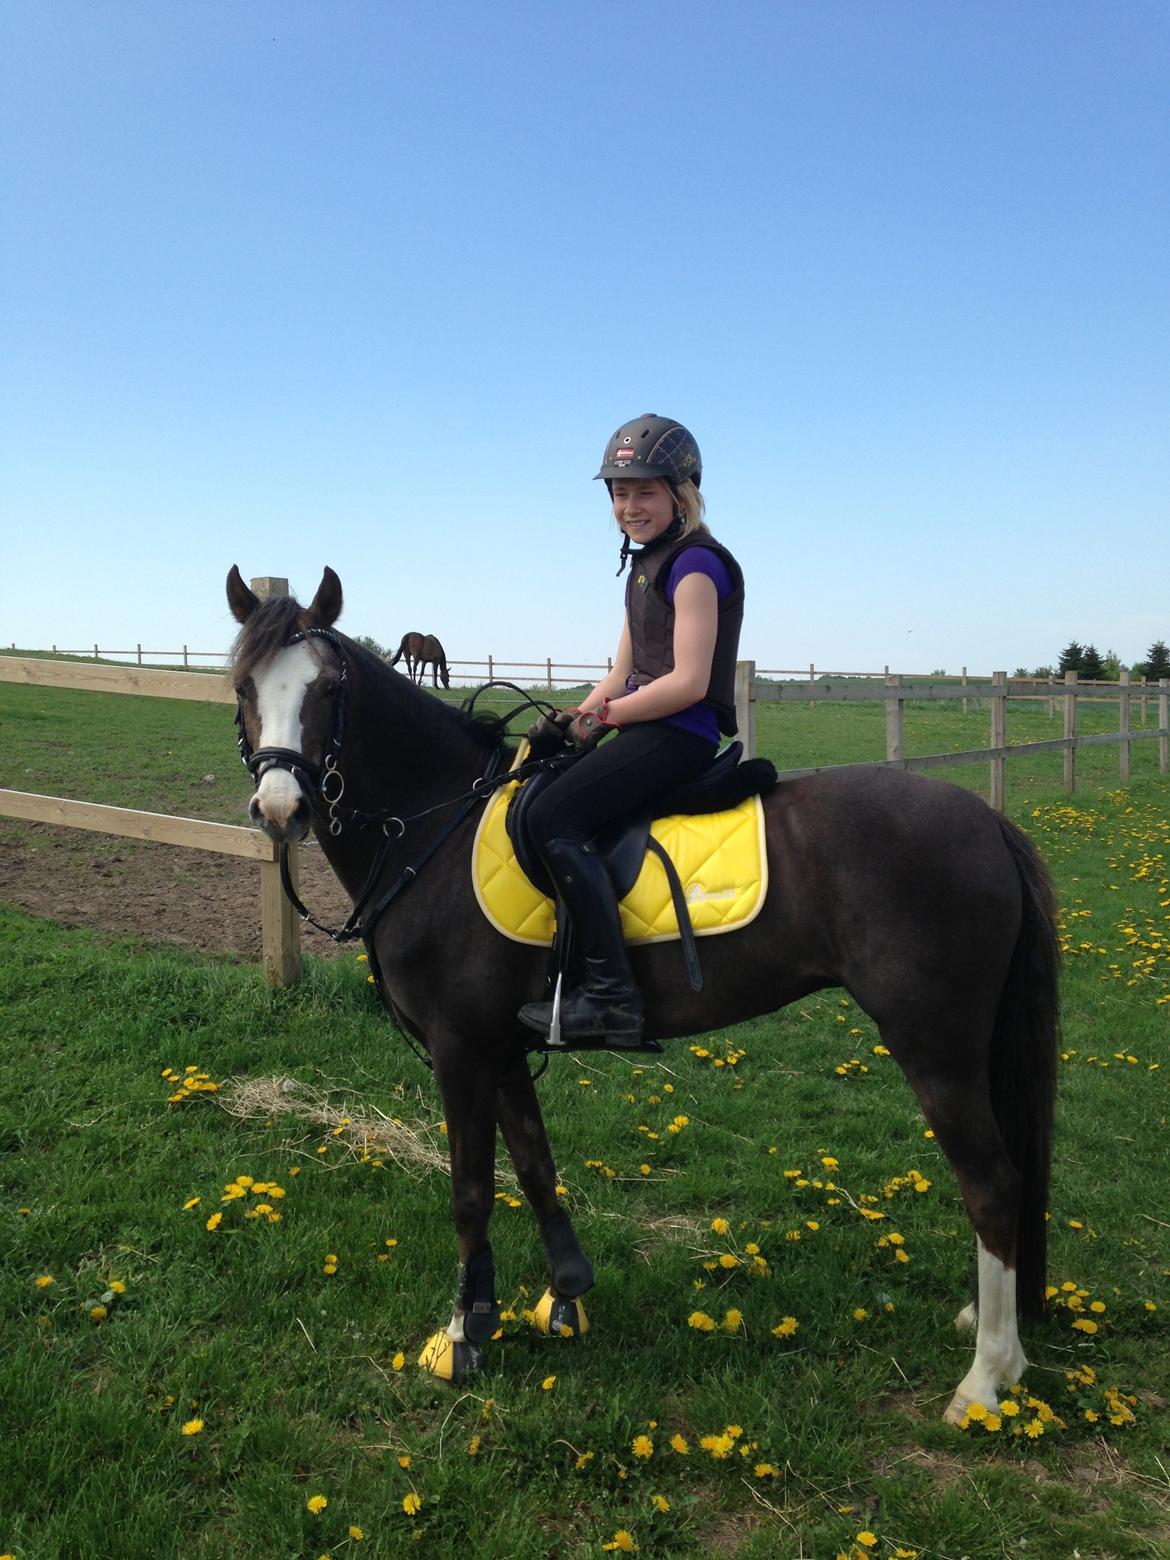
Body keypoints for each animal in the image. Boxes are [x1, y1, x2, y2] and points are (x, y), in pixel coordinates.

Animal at [226, 565, 1060, 1424]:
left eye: (328, 689)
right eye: (244, 687)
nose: (281, 809)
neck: (437, 831)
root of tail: (988, 823)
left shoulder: (460, 1049)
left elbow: (471, 1191)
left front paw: (461, 1336)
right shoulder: (503, 1047)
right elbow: (535, 1166)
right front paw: (562, 1296)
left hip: (936, 1047)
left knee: (993, 1185)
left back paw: (986, 1375)